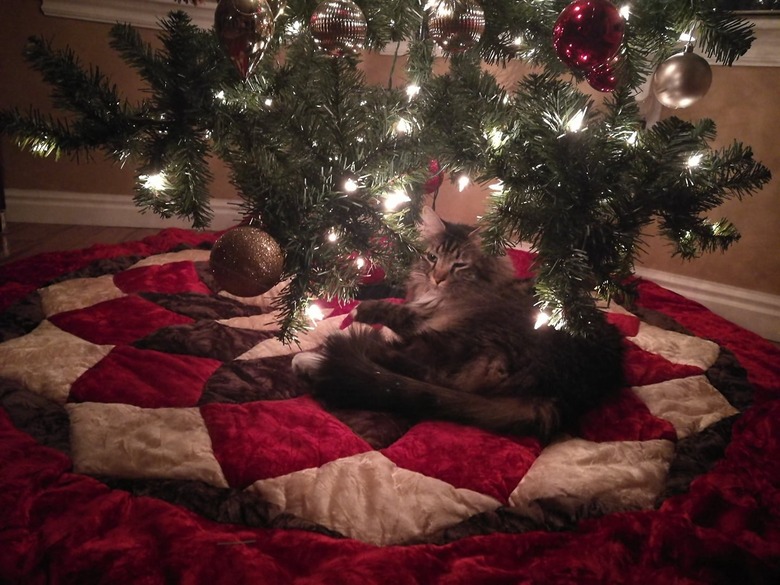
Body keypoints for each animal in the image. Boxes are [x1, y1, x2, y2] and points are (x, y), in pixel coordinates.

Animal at [290, 204, 624, 438]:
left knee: (401, 364)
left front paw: (354, 313)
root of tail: (560, 394)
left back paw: (312, 360)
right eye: (431, 258)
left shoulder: (420, 314)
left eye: (459, 265)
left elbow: (385, 309)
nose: (437, 278)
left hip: (454, 341)